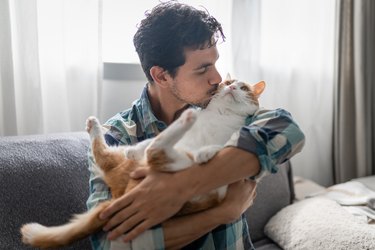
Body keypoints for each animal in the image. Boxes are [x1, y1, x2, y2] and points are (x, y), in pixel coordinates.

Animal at [20, 75, 266, 248]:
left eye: (243, 88)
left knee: (152, 154)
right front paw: (137, 149)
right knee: (143, 150)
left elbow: (230, 142)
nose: (231, 88)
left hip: (202, 185)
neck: (220, 115)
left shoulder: (239, 138)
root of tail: (120, 196)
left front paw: (208, 150)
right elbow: (148, 141)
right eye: (228, 82)